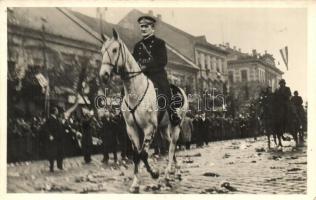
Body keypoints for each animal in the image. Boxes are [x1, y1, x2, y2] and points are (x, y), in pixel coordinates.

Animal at [99, 28, 188, 193]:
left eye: (114, 50)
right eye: (102, 51)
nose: (104, 75)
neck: (135, 90)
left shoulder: (149, 128)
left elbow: (144, 154)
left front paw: (154, 173)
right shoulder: (132, 129)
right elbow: (137, 154)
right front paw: (135, 183)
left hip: (176, 125)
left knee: (172, 147)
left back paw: (167, 174)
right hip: (163, 128)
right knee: (169, 146)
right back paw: (176, 171)